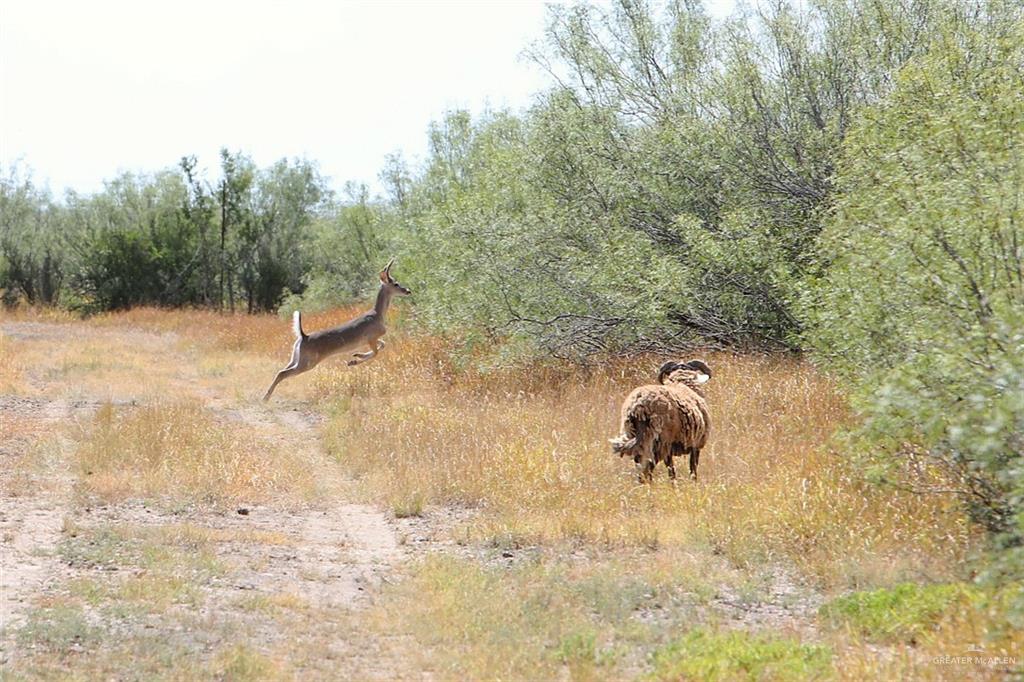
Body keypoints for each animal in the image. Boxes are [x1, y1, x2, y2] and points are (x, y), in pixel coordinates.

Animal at [262, 258, 409, 401]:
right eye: (396, 284)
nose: (408, 291)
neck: (378, 314)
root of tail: (303, 336)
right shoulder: (371, 337)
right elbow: (376, 351)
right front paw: (353, 361)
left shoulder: (371, 339)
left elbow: (382, 345)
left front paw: (355, 357)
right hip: (308, 361)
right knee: (282, 373)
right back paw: (265, 397)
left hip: (296, 357)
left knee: (282, 369)